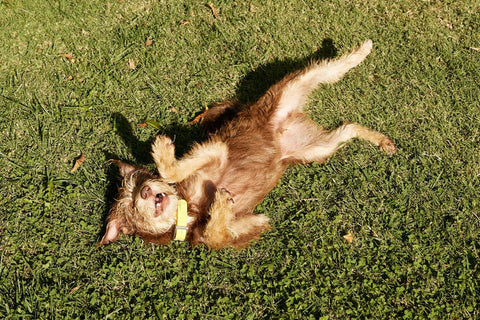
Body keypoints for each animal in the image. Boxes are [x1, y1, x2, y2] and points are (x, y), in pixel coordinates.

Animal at [98, 39, 398, 250]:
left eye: (138, 183)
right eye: (132, 208)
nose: (146, 192)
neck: (189, 211)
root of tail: (284, 126)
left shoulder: (216, 151)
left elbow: (174, 169)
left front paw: (161, 151)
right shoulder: (252, 224)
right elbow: (215, 236)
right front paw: (220, 205)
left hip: (288, 91)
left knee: (328, 68)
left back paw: (361, 51)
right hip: (317, 148)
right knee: (347, 127)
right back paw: (381, 141)